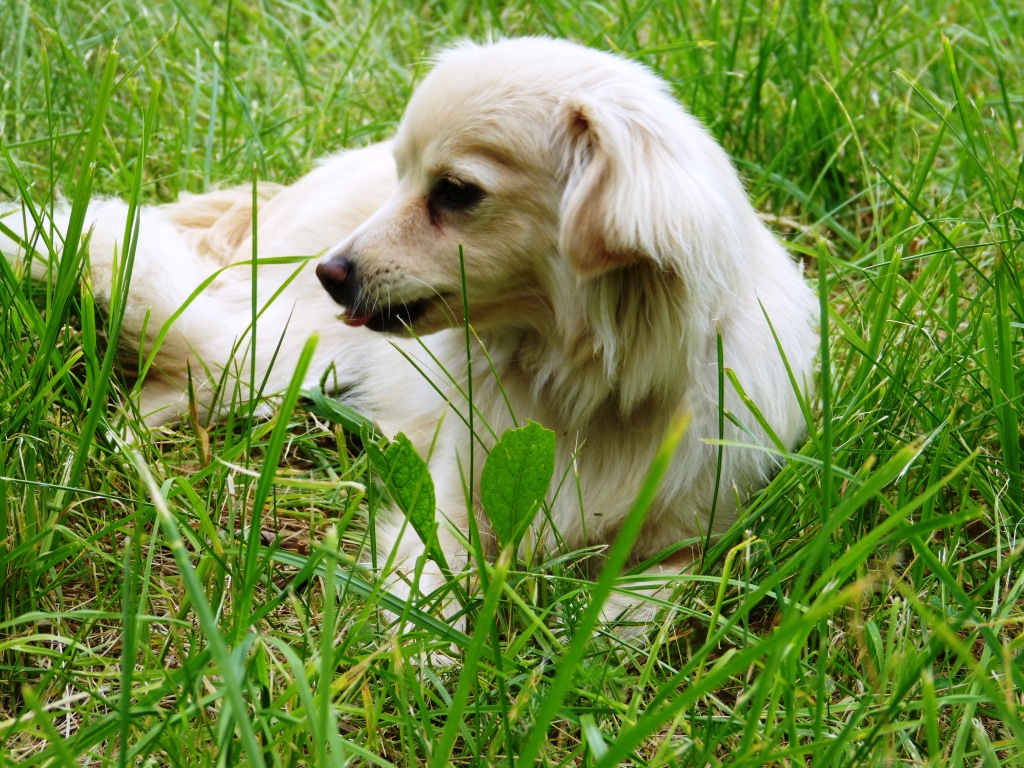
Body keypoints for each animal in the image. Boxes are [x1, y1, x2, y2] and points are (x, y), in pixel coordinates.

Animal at [0, 37, 815, 626]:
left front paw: (585, 630)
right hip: (271, 351)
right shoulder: (453, 493)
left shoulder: (702, 534)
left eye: (456, 192)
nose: (330, 274)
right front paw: (429, 654)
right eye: (403, 179)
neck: (586, 388)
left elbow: (649, 604)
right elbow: (435, 573)